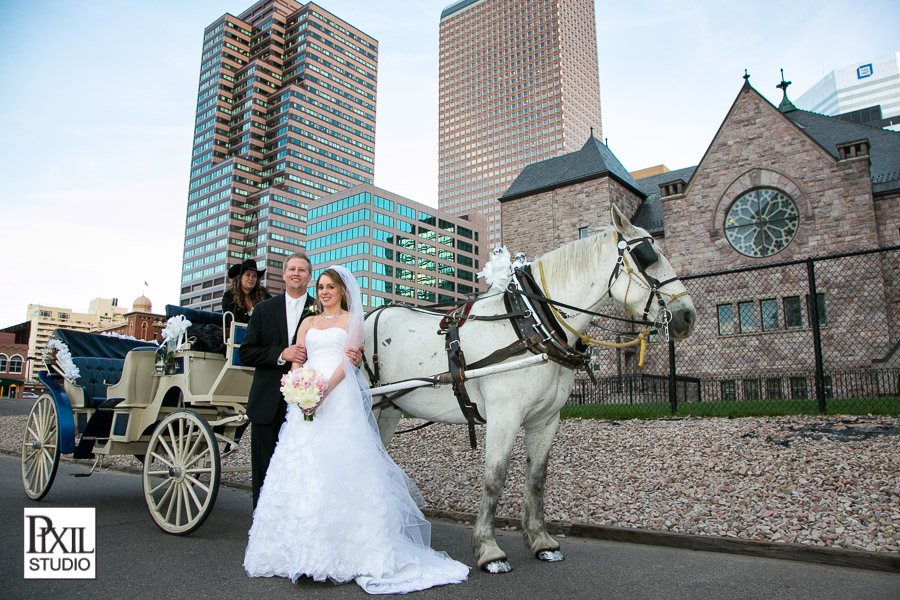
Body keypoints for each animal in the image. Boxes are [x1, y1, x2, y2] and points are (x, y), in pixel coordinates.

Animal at [366, 205, 696, 572]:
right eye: (648, 256)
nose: (687, 316)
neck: (533, 325)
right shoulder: (504, 416)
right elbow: (494, 478)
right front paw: (489, 550)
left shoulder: (546, 419)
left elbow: (537, 478)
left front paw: (540, 541)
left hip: (389, 410)